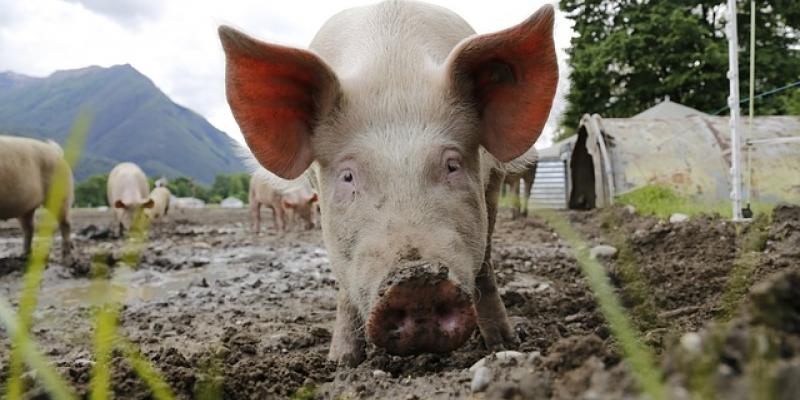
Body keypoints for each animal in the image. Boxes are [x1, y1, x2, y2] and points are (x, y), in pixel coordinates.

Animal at [0, 136, 73, 264]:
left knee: (65, 224)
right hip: (25, 208)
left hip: (61, 193)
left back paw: (66, 260)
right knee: (29, 228)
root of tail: (56, 150)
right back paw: (23, 256)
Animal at [219, 0, 556, 366]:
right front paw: (341, 362)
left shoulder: (491, 177)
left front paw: (505, 345)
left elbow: (485, 264)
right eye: (348, 176)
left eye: (452, 165)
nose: (416, 281)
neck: (393, 72)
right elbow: (345, 284)